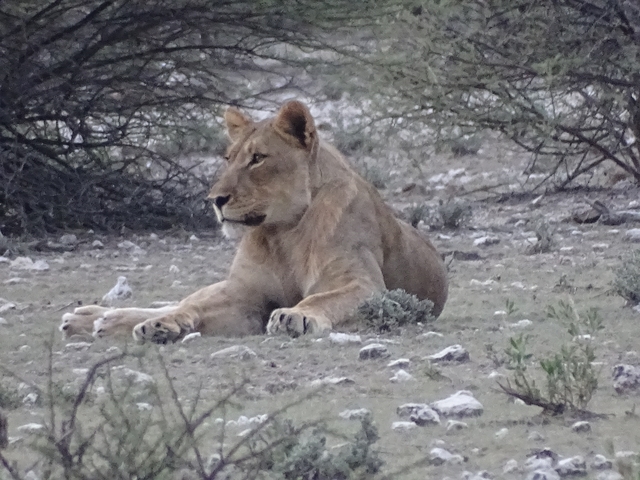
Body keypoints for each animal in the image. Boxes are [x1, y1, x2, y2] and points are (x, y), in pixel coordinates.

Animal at [59, 100, 448, 344]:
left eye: (258, 158)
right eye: (228, 158)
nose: (214, 200)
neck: (283, 233)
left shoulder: (365, 286)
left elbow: (322, 299)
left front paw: (295, 317)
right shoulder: (243, 293)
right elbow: (192, 307)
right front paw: (160, 324)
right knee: (179, 301)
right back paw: (98, 318)